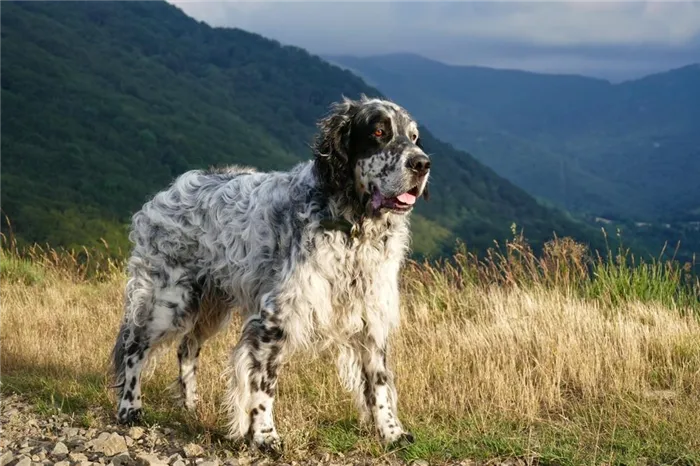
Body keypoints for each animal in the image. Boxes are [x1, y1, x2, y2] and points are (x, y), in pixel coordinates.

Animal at [109, 94, 432, 452]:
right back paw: (130, 408)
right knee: (134, 347)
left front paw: (391, 432)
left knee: (187, 348)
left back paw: (191, 406)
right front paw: (264, 435)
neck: (352, 229)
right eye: (378, 132)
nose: (422, 164)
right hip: (168, 303)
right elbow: (264, 382)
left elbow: (379, 383)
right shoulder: (274, 318)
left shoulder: (370, 315)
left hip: (211, 308)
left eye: (414, 137)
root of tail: (169, 192)